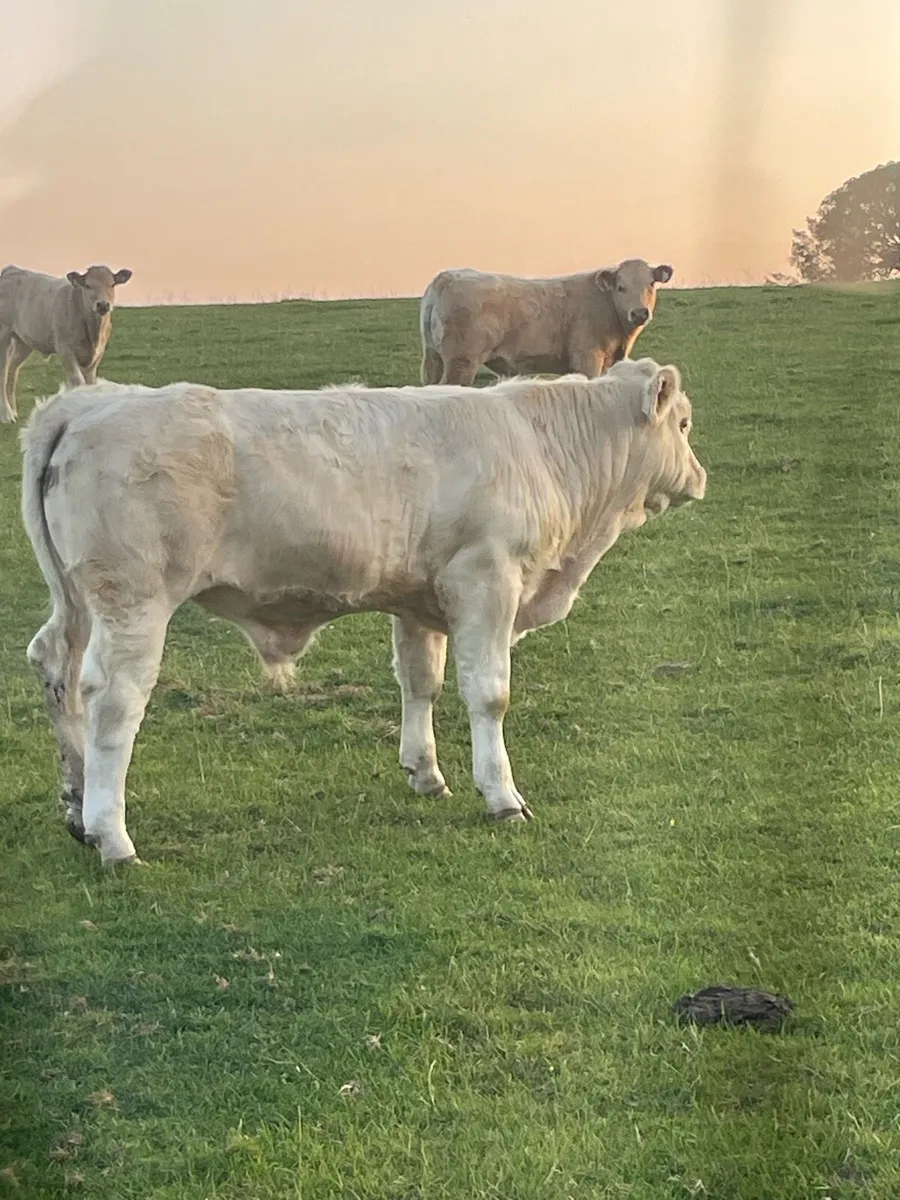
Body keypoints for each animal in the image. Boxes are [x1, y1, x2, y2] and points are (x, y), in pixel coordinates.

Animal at [0, 264, 133, 423]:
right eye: (88, 286)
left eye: (112, 284)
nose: (103, 305)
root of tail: (12, 269)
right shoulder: (65, 349)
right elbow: (77, 381)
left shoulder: (97, 355)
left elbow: (90, 384)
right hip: (4, 333)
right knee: (3, 373)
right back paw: (6, 415)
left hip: (24, 341)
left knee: (12, 371)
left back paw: (13, 412)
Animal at [21, 357, 706, 866]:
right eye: (685, 425)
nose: (700, 478)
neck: (540, 444)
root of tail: (90, 402)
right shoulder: (486, 580)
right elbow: (489, 694)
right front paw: (502, 794)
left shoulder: (420, 599)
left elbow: (421, 681)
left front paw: (425, 772)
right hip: (133, 601)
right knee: (113, 701)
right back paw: (112, 836)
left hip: (78, 602)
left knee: (57, 668)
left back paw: (77, 803)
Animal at [420, 258, 674, 386]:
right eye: (621, 287)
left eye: (651, 284)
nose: (639, 313)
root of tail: (446, 277)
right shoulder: (587, 357)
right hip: (461, 361)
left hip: (436, 358)